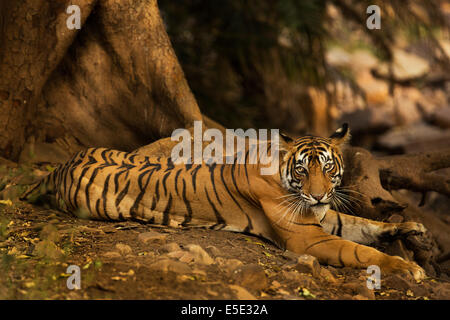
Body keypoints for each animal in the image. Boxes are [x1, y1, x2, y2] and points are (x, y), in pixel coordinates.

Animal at [21, 124, 428, 278]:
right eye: (302, 170)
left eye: (328, 168)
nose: (317, 194)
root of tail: (61, 165)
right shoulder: (307, 237)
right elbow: (359, 249)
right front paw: (406, 267)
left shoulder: (322, 218)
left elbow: (366, 226)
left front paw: (410, 227)